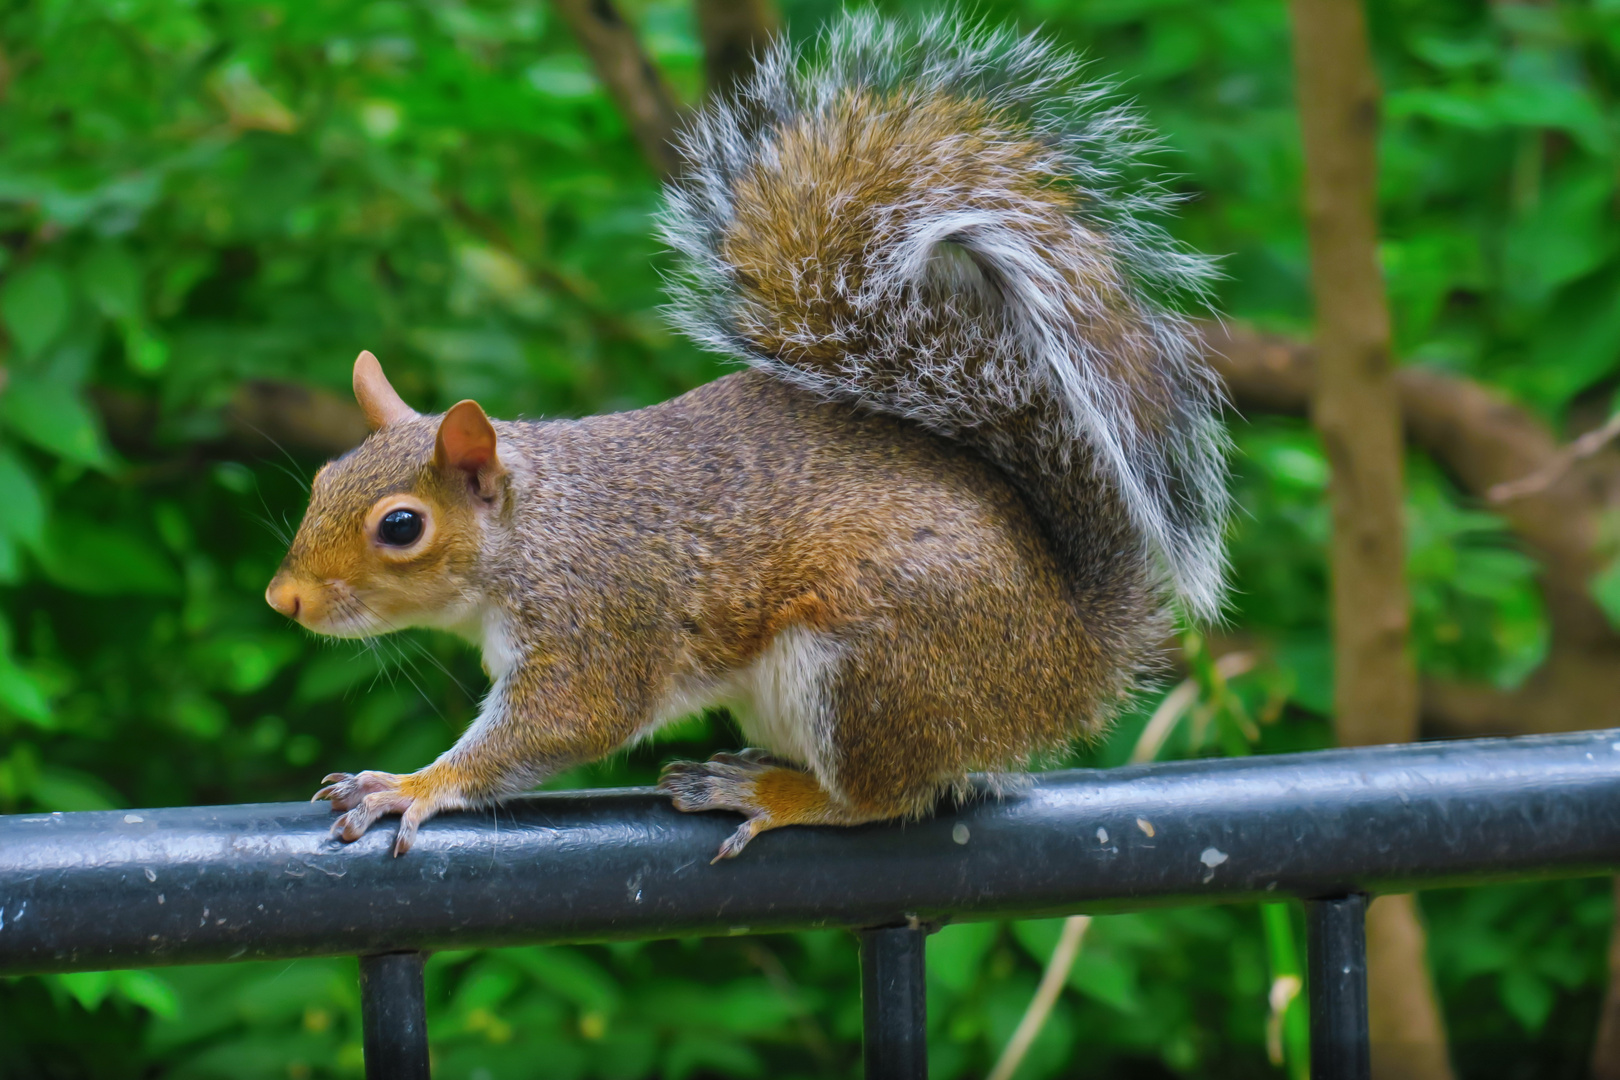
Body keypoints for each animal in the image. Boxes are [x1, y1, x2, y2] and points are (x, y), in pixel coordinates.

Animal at [265, 12, 1224, 861]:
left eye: (401, 527)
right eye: (322, 479)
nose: (286, 600)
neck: (535, 531)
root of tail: (1065, 662)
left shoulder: (597, 621)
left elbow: (569, 719)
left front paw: (408, 787)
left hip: (873, 666)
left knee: (887, 796)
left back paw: (772, 793)